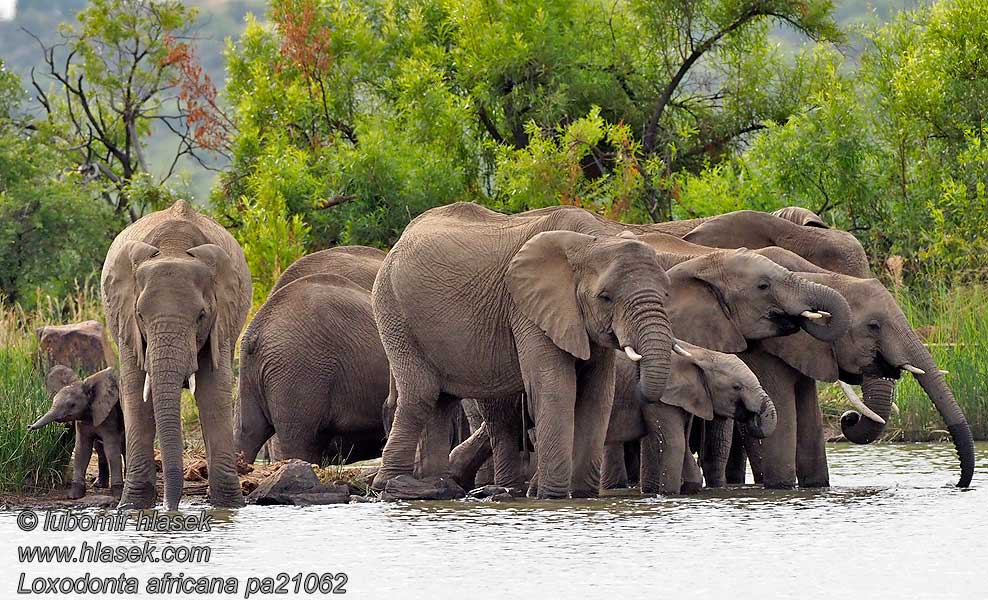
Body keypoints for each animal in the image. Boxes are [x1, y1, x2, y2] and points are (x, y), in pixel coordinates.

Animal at [29, 368, 125, 500]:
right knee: (99, 449)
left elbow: (111, 450)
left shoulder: (110, 416)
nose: (28, 427)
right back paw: (99, 485)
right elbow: (82, 450)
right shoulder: (82, 421)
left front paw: (118, 496)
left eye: (72, 405)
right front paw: (74, 496)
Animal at [100, 199, 251, 508]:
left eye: (201, 316)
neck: (174, 247)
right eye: (140, 316)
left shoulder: (221, 322)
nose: (171, 508)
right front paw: (133, 506)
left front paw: (229, 506)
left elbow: (213, 392)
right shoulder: (127, 325)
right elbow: (136, 393)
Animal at [372, 202, 680, 496]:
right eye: (604, 297)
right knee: (420, 395)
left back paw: (438, 486)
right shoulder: (527, 309)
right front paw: (552, 496)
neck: (592, 241)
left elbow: (597, 395)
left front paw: (581, 495)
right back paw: (392, 485)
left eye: (666, 292)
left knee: (442, 400)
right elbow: (557, 389)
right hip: (394, 312)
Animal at [604, 340, 780, 494]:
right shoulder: (661, 398)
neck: (701, 353)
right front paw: (668, 493)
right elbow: (675, 444)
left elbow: (684, 443)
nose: (753, 416)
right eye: (736, 387)